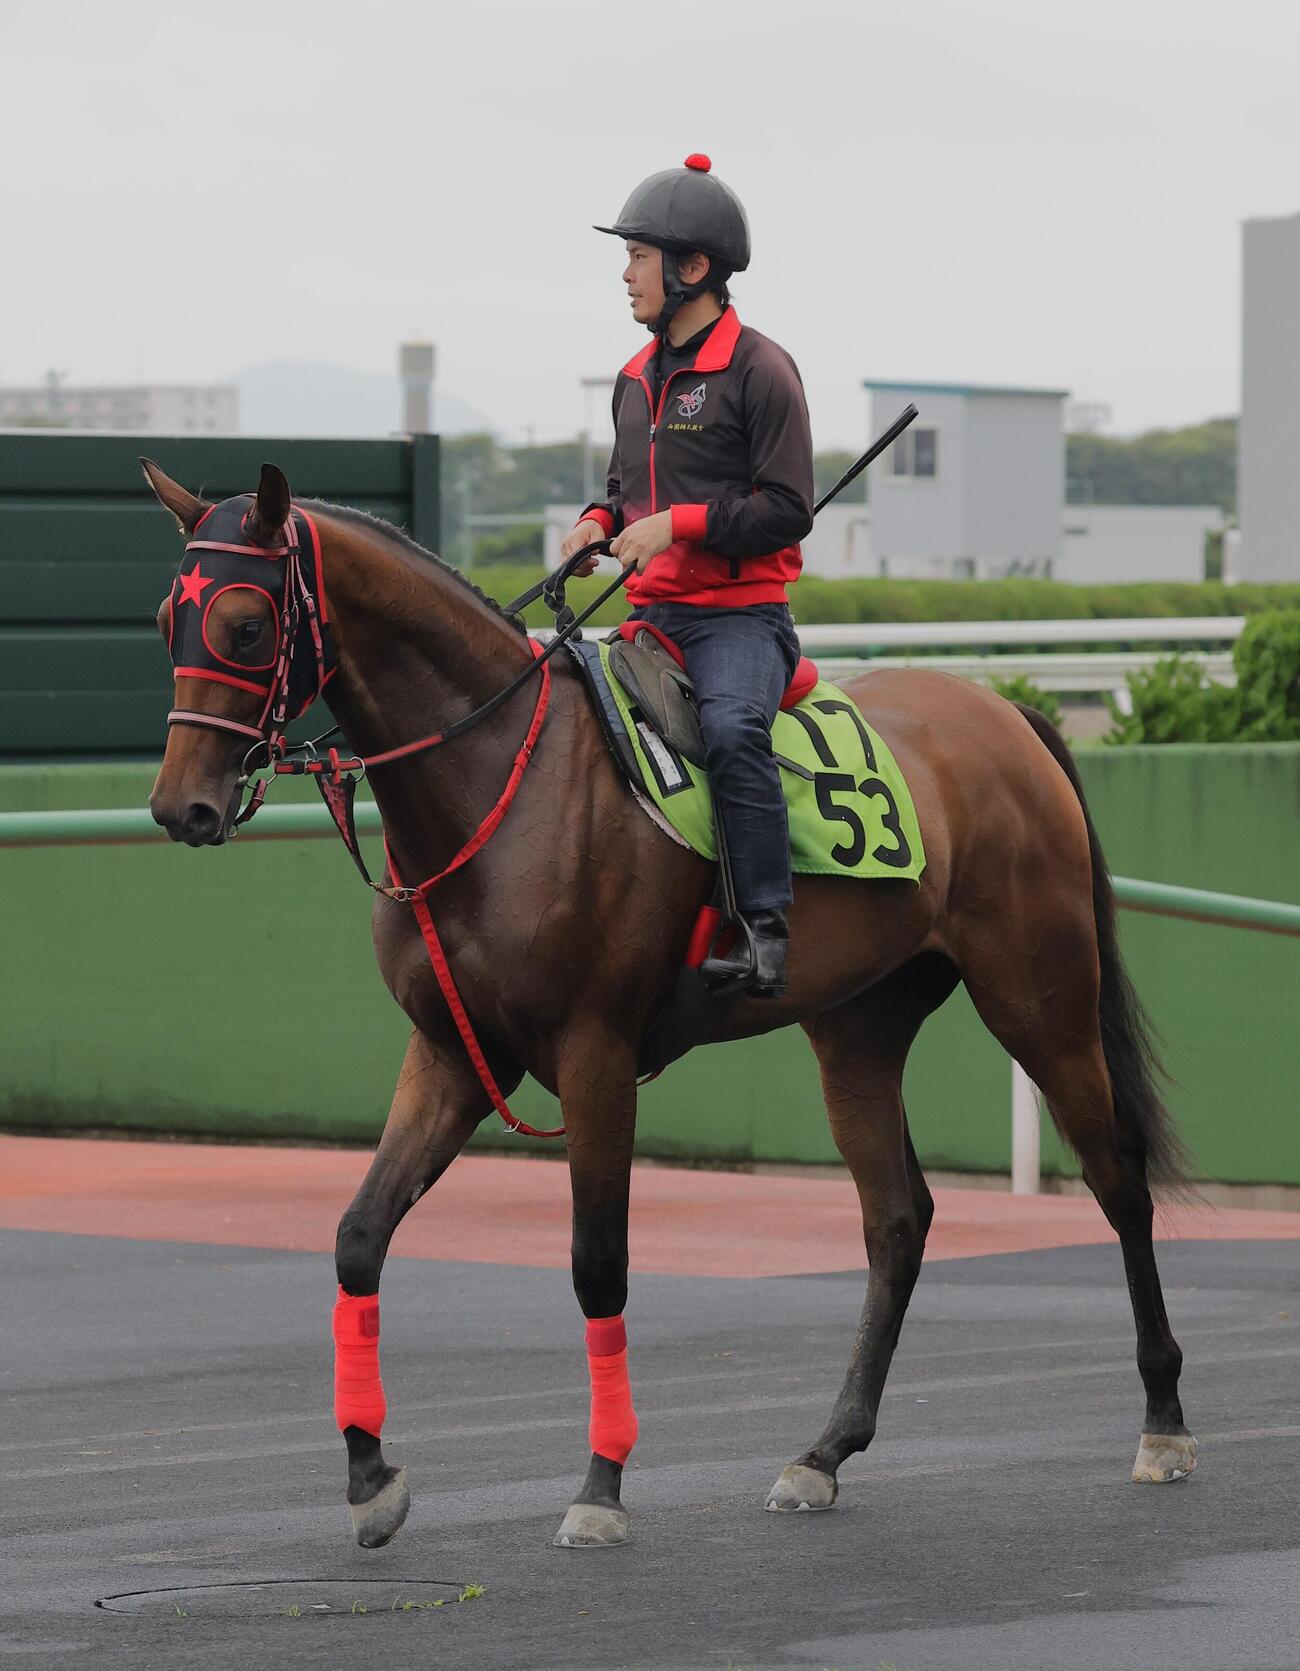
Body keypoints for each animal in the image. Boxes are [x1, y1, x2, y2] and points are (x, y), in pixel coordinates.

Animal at [143, 459, 1196, 1551]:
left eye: (245, 626)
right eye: (166, 618)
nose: (180, 806)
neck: (499, 776)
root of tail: (1005, 716)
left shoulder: (596, 1054)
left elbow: (597, 1263)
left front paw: (601, 1485)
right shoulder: (451, 1052)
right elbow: (359, 1235)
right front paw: (368, 1475)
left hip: (1040, 997)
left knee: (1118, 1180)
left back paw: (1163, 1421)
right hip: (857, 1029)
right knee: (897, 1219)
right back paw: (825, 1451)